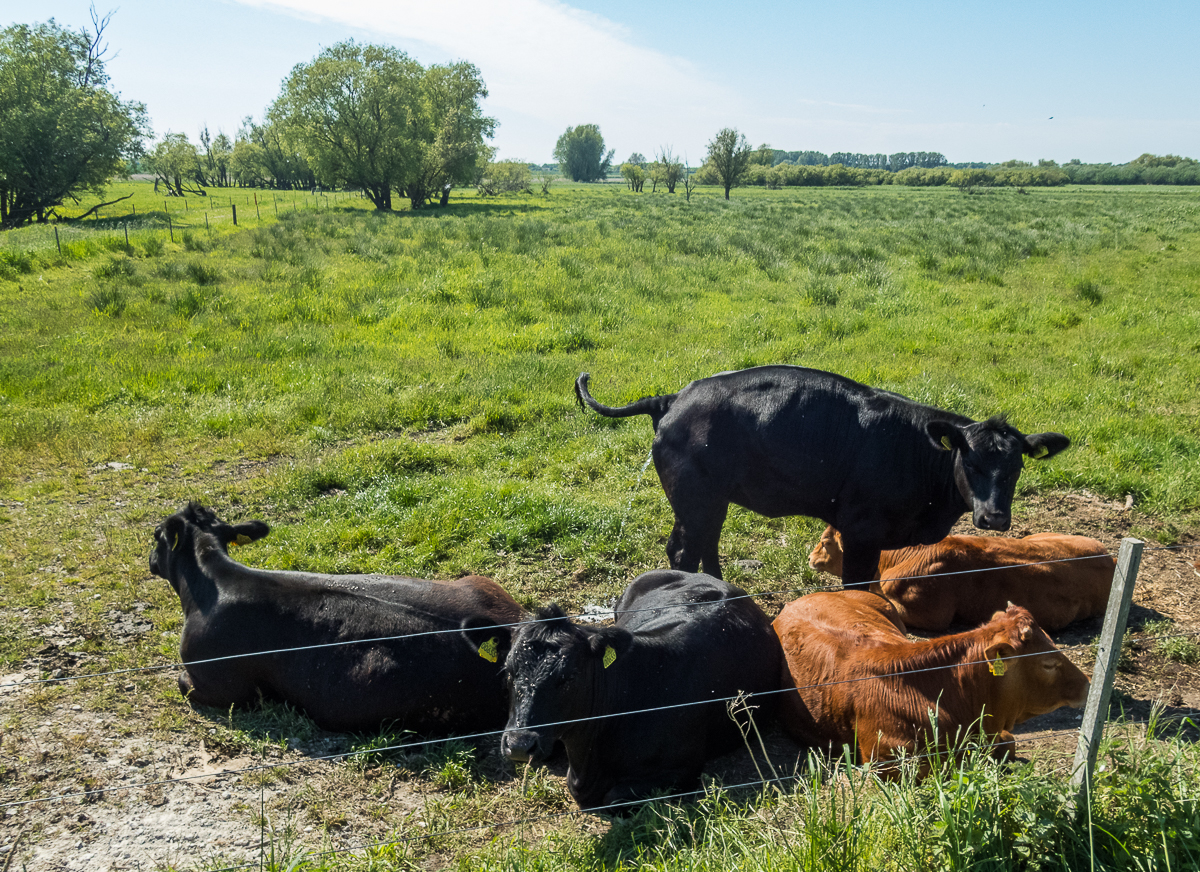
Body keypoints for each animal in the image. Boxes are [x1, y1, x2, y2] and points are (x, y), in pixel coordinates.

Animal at [573, 367, 1070, 587]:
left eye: (1016, 467)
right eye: (971, 463)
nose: (994, 518)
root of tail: (673, 397)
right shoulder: (862, 530)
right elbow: (858, 586)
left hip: (710, 501)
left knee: (704, 545)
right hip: (696, 499)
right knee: (683, 550)